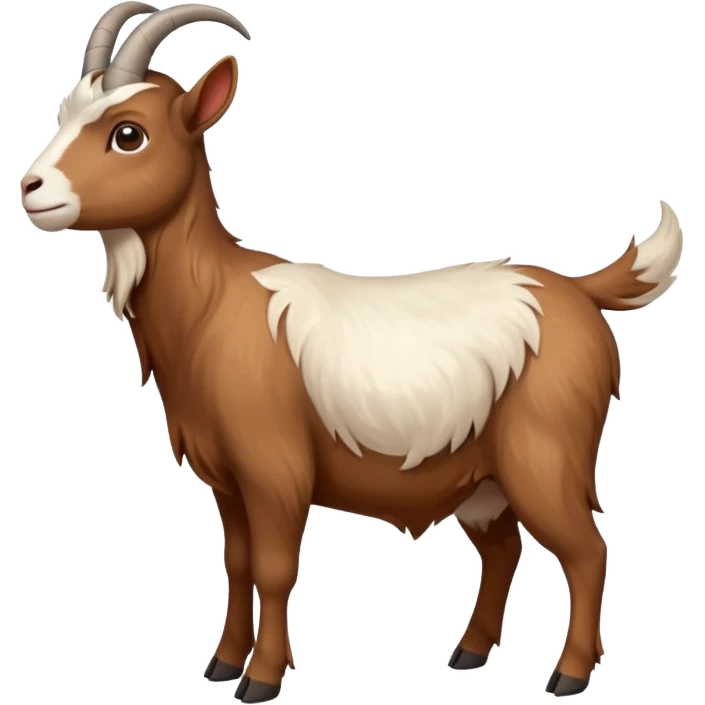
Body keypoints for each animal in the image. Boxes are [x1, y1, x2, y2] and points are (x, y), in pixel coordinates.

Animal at [20, 2, 686, 702]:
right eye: (64, 113)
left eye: (128, 134)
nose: (31, 188)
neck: (214, 300)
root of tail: (577, 289)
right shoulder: (228, 478)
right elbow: (237, 562)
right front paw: (222, 663)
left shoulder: (275, 469)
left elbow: (274, 568)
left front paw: (260, 678)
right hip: (483, 475)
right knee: (504, 547)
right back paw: (469, 652)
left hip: (545, 453)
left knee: (587, 551)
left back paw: (570, 673)